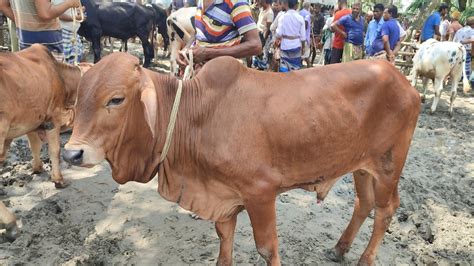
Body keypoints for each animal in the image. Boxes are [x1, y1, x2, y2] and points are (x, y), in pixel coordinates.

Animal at [0, 44, 84, 240]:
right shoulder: (52, 118)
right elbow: (55, 150)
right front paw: (59, 180)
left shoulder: (32, 122)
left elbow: (35, 146)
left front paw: (37, 168)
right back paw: (10, 223)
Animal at [62, 53, 418, 264]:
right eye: (79, 98)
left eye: (116, 99)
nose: (71, 153)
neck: (197, 116)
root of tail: (403, 80)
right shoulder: (222, 194)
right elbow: (225, 237)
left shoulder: (260, 192)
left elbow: (267, 248)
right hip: (362, 167)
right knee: (363, 203)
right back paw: (340, 248)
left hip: (389, 165)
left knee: (386, 210)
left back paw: (364, 258)